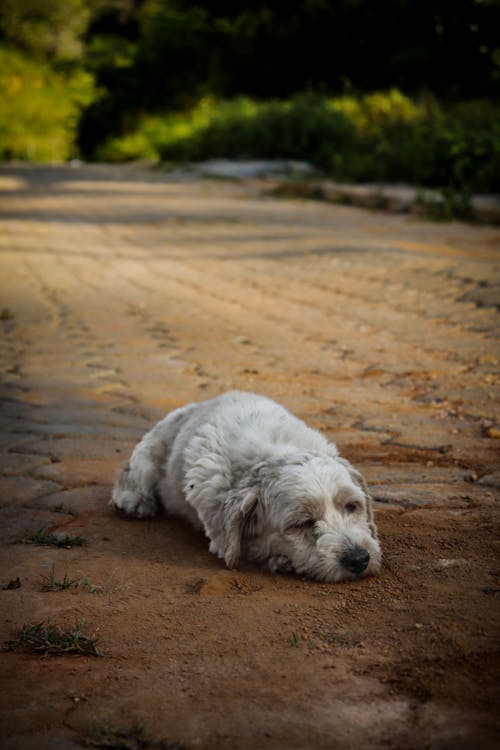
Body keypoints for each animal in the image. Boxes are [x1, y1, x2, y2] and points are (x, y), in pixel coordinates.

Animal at [111, 390, 380, 584]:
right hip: (148, 456)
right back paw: (134, 501)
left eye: (352, 506)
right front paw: (279, 561)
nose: (359, 559)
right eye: (301, 524)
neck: (271, 453)